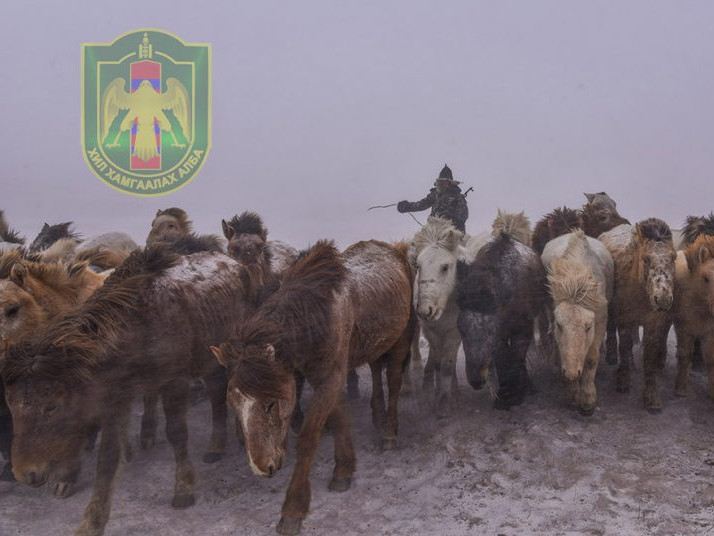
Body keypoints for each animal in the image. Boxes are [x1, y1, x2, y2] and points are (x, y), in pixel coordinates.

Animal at [213, 240, 412, 536]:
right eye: (233, 405)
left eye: (270, 403)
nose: (262, 467)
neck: (314, 317)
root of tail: (395, 249)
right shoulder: (321, 377)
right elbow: (338, 418)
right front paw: (344, 468)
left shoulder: (330, 377)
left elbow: (309, 438)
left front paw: (293, 510)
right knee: (377, 373)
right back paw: (377, 416)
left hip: (400, 341)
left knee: (395, 382)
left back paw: (389, 431)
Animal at [456, 226, 544, 410]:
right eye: (459, 327)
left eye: (491, 329)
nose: (476, 380)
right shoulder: (502, 335)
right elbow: (503, 358)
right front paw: (505, 395)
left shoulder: (522, 329)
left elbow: (517, 357)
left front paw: (517, 393)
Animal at [540, 230, 612, 414]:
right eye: (559, 325)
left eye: (588, 327)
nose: (572, 373)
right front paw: (572, 394)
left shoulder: (600, 322)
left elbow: (591, 359)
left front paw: (587, 399)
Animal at [600, 218, 672, 410]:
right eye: (646, 259)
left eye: (673, 258)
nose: (663, 299)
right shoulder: (624, 319)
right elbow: (624, 347)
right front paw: (623, 380)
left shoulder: (654, 323)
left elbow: (650, 358)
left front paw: (651, 396)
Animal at [672, 237, 712, 396]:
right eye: (706, 278)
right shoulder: (684, 329)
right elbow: (685, 355)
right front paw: (680, 388)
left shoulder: (709, 334)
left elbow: (710, 359)